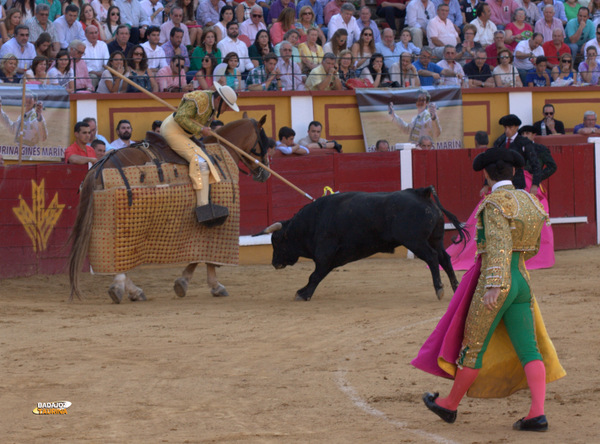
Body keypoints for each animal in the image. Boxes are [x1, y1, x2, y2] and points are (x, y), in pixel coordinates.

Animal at [67, 114, 270, 304]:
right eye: (264, 142)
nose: (266, 172)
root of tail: (99, 166)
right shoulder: (215, 223)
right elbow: (205, 256)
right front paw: (206, 284)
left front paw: (186, 283)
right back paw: (124, 289)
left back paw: (130, 291)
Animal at [255, 187, 466, 302]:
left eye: (277, 241)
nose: (275, 263)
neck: (311, 222)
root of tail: (422, 193)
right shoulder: (332, 259)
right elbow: (318, 275)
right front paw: (303, 292)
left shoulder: (325, 255)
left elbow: (314, 276)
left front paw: (302, 294)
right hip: (435, 239)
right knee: (445, 259)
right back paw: (456, 289)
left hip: (416, 242)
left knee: (432, 258)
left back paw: (439, 289)